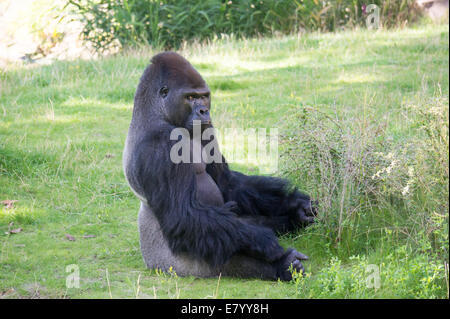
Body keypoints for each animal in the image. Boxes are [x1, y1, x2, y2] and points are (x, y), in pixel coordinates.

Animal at [121, 51, 314, 282]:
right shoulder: (160, 146)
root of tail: (149, 262)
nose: (204, 110)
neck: (158, 114)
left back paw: (292, 220)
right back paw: (283, 265)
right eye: (190, 97)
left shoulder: (206, 129)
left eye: (204, 96)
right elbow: (183, 216)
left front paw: (296, 204)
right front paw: (266, 241)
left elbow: (228, 183)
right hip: (174, 266)